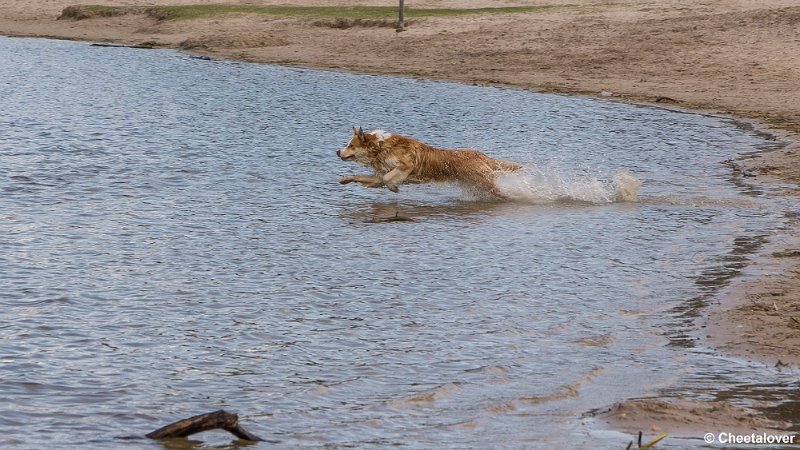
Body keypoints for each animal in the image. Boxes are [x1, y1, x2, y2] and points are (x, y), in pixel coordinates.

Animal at [334, 126, 520, 197]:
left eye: (350, 145)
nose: (337, 151)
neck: (380, 147)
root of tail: (483, 155)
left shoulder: (407, 166)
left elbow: (388, 179)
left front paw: (394, 187)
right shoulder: (378, 176)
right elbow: (363, 177)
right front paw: (345, 179)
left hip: (484, 182)